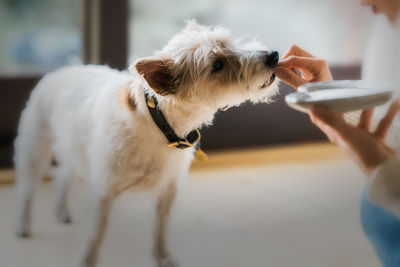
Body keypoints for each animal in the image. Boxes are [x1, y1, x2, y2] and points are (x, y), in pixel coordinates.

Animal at [14, 21, 280, 267]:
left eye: (231, 42)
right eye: (216, 65)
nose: (273, 56)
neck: (159, 125)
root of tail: (61, 70)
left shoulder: (167, 190)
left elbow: (160, 229)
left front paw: (163, 257)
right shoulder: (103, 194)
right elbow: (95, 236)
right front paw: (86, 261)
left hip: (73, 149)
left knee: (63, 176)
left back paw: (61, 211)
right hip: (36, 151)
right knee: (28, 189)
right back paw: (23, 225)